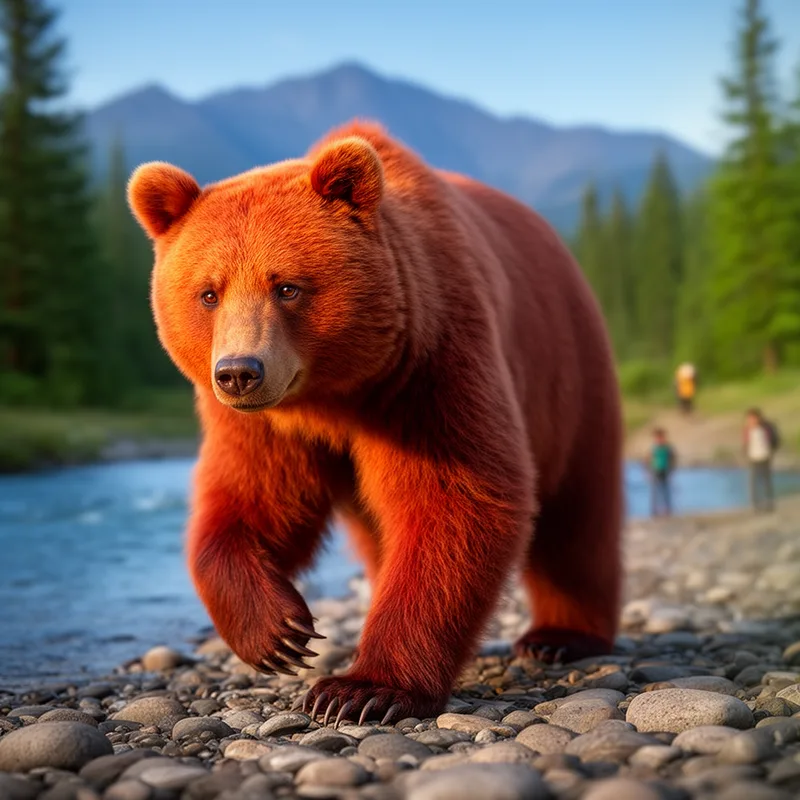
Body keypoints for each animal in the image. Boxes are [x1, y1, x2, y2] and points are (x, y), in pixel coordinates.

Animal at [128, 120, 623, 726]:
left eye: (287, 286)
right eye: (208, 293)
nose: (239, 373)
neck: (334, 395)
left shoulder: (428, 368)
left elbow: (455, 501)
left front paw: (362, 690)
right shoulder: (265, 427)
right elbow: (254, 502)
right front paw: (278, 633)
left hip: (569, 370)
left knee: (577, 513)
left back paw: (560, 636)